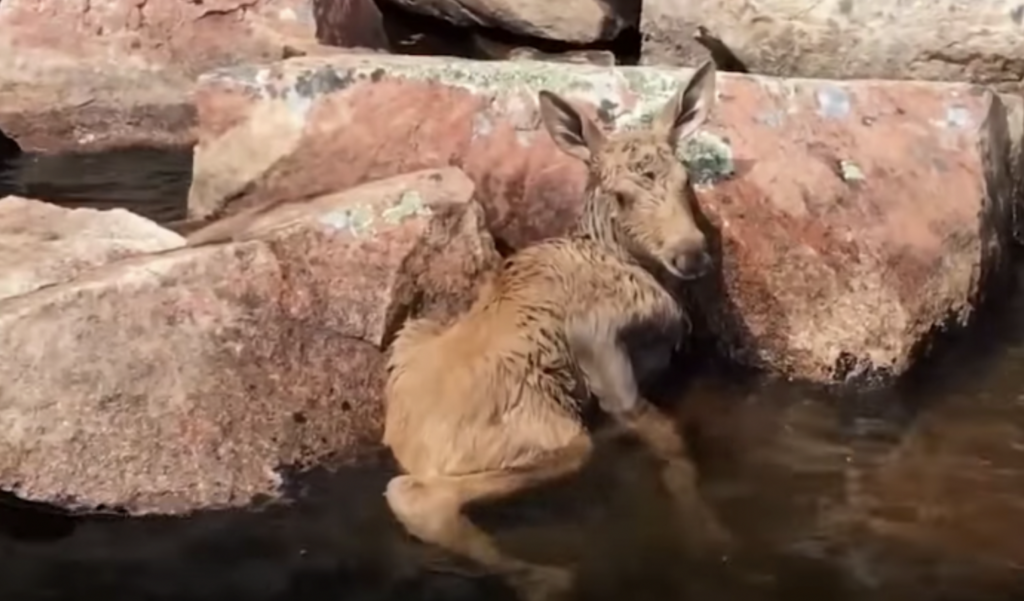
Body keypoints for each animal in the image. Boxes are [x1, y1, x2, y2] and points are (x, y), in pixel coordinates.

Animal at [382, 59, 729, 597]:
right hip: (550, 435)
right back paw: (547, 577)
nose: (691, 254)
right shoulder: (601, 344)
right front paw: (708, 534)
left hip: (414, 333)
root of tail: (412, 447)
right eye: (621, 196)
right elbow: (668, 436)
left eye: (685, 179)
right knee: (416, 497)